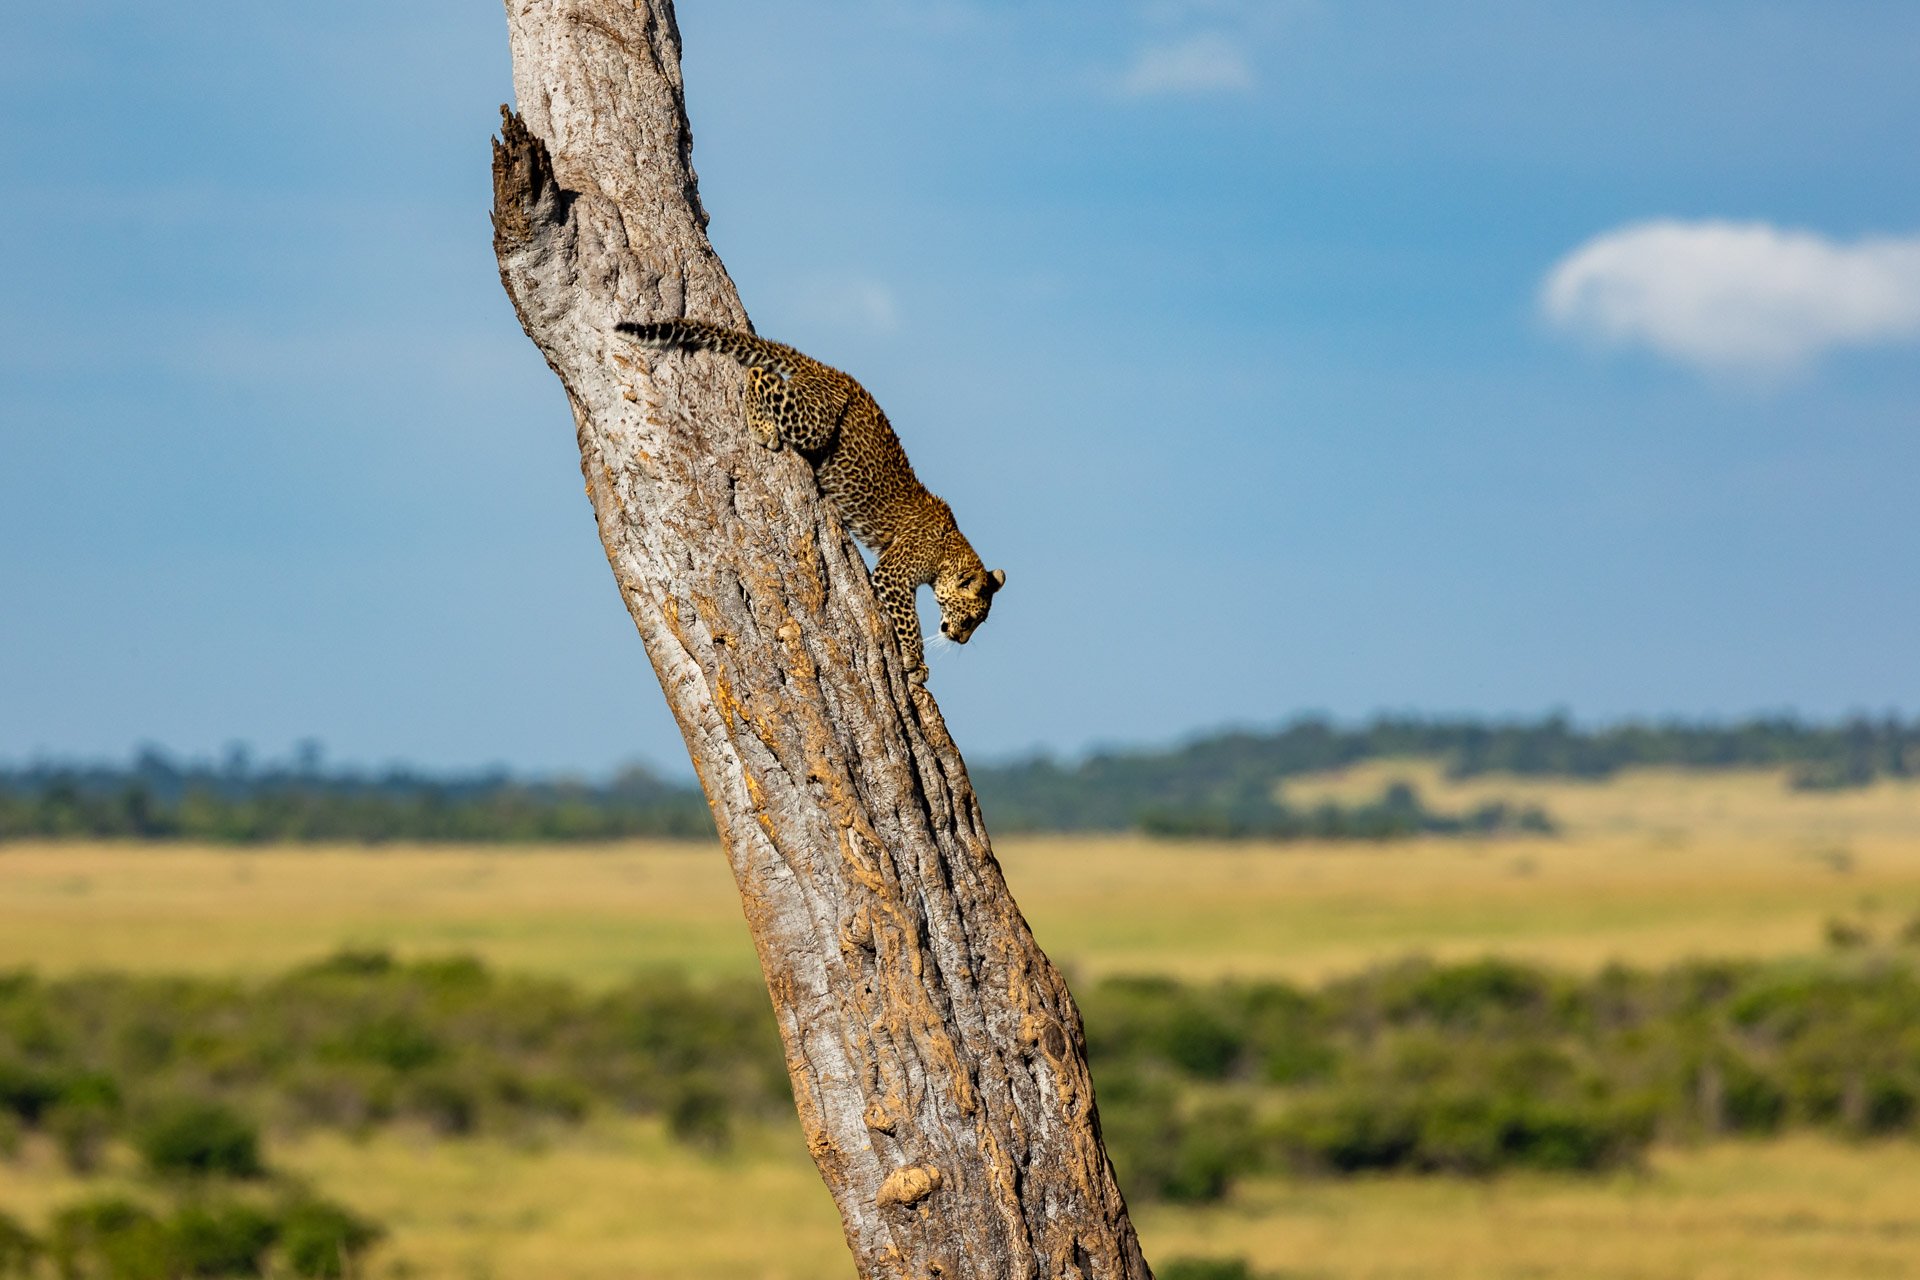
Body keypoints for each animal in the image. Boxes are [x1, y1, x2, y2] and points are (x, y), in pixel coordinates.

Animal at [618, 316, 1013, 687]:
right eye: (971, 618)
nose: (960, 639)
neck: (950, 552)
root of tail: (833, 372)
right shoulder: (893, 575)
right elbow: (909, 622)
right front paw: (916, 662)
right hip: (813, 424)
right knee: (760, 374)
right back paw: (762, 427)